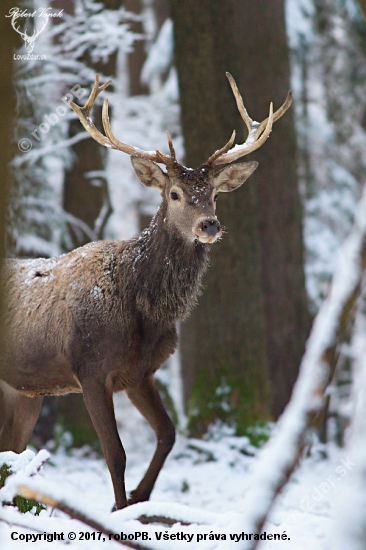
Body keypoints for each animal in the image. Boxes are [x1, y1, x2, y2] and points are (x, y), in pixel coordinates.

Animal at [0, 73, 292, 512]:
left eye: (215, 195)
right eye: (174, 194)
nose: (209, 225)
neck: (144, 311)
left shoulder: (140, 373)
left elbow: (169, 433)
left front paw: (140, 496)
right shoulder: (90, 369)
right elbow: (115, 453)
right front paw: (119, 510)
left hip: (26, 389)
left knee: (12, 448)